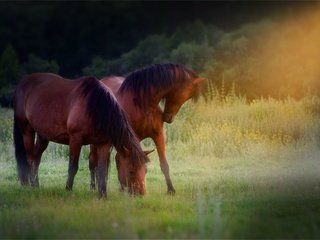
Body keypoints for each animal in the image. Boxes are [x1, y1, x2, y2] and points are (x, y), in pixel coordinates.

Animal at [12, 73, 148, 197]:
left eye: (145, 170)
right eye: (131, 171)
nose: (141, 194)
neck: (94, 107)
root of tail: (22, 84)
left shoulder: (103, 144)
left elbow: (102, 169)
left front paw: (103, 195)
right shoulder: (75, 139)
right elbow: (73, 167)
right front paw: (68, 190)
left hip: (43, 136)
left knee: (37, 158)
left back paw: (36, 185)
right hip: (27, 130)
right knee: (30, 159)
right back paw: (30, 186)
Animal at [89, 62, 206, 194]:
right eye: (187, 94)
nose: (168, 118)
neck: (143, 104)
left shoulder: (158, 134)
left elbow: (164, 164)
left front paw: (171, 190)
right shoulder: (133, 138)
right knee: (93, 161)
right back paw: (94, 187)